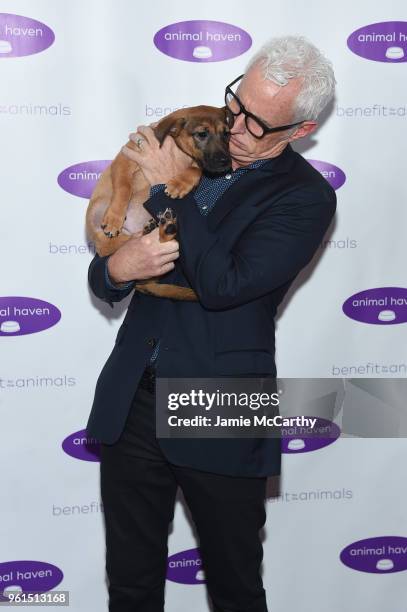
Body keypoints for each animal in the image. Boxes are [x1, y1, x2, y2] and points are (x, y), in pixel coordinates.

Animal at [86, 106, 233, 302]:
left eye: (226, 134)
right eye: (202, 134)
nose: (226, 161)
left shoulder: (198, 165)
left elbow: (196, 170)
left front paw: (180, 184)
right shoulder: (125, 160)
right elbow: (124, 187)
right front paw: (114, 219)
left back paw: (162, 228)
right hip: (98, 212)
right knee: (111, 246)